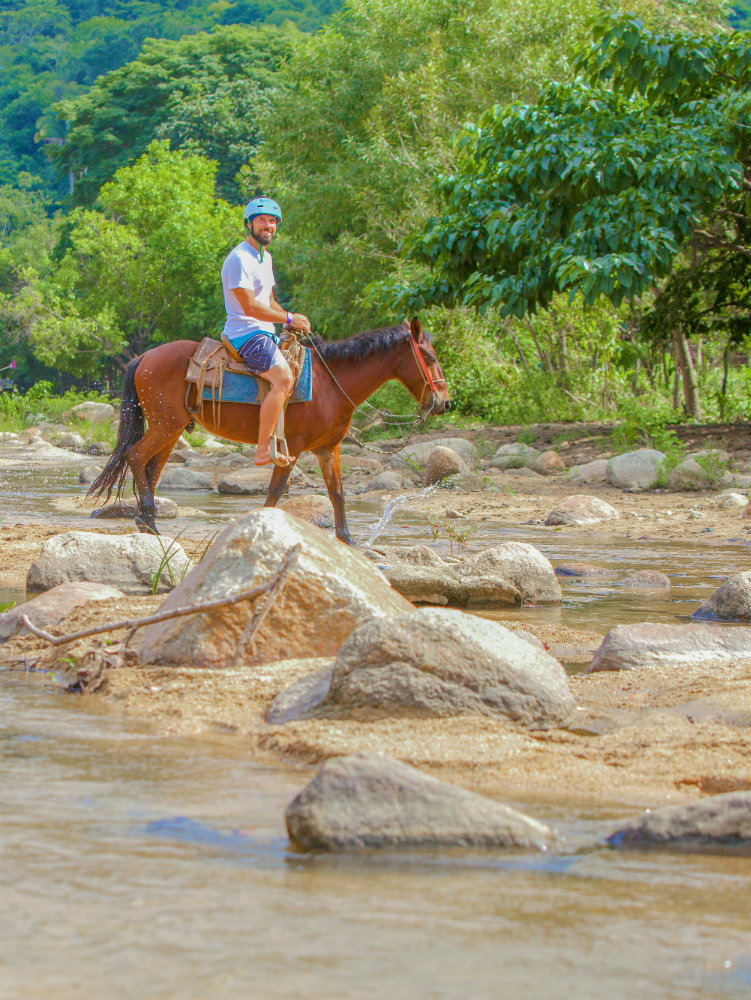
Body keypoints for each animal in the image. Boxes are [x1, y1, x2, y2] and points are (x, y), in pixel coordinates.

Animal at [87, 317, 450, 544]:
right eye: (430, 358)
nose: (445, 402)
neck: (331, 384)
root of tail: (145, 357)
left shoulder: (327, 448)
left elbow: (337, 493)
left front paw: (348, 540)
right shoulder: (291, 447)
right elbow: (275, 493)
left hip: (172, 429)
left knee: (151, 467)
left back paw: (147, 522)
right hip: (166, 426)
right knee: (136, 456)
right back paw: (147, 519)